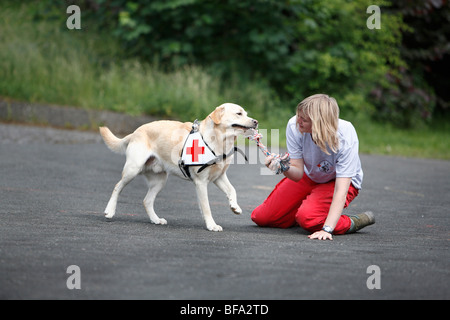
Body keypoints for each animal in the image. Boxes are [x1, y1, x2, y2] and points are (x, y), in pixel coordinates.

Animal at [100, 104, 258, 231]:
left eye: (246, 113)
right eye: (239, 113)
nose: (256, 122)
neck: (218, 141)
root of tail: (135, 132)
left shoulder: (218, 177)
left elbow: (232, 190)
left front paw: (235, 207)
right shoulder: (201, 182)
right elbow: (206, 207)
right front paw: (211, 225)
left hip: (160, 181)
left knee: (147, 201)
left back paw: (156, 219)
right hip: (133, 170)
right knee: (117, 187)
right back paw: (110, 211)